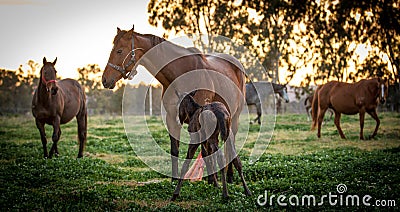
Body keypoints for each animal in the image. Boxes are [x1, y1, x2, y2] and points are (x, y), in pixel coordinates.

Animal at [101, 25, 245, 183]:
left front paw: (212, 181)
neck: (180, 76)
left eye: (120, 51)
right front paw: (175, 179)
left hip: (234, 118)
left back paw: (229, 176)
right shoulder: (172, 119)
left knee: (229, 143)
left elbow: (204, 149)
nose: (105, 80)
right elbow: (175, 150)